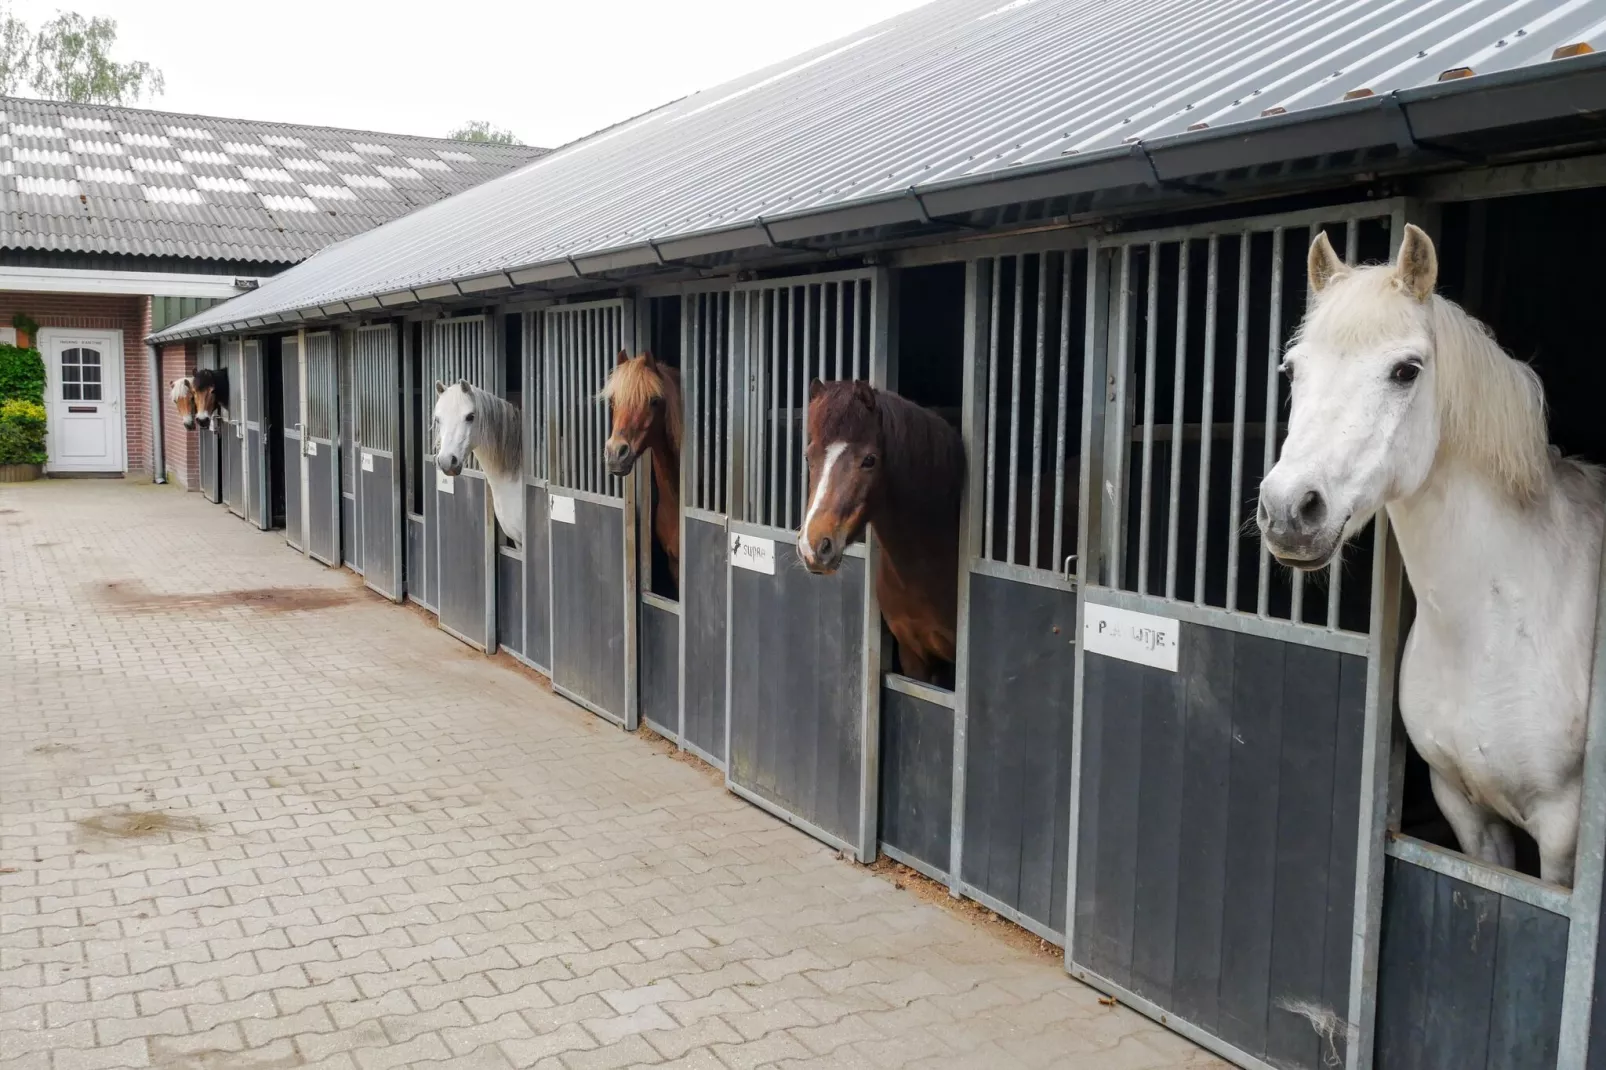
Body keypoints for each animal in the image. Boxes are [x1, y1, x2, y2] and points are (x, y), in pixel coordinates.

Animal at [1259, 224, 1599, 880]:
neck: (1495, 628)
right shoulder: (1465, 812)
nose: (1289, 511)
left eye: (1405, 370)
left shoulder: (1562, 840)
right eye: (1293, 370)